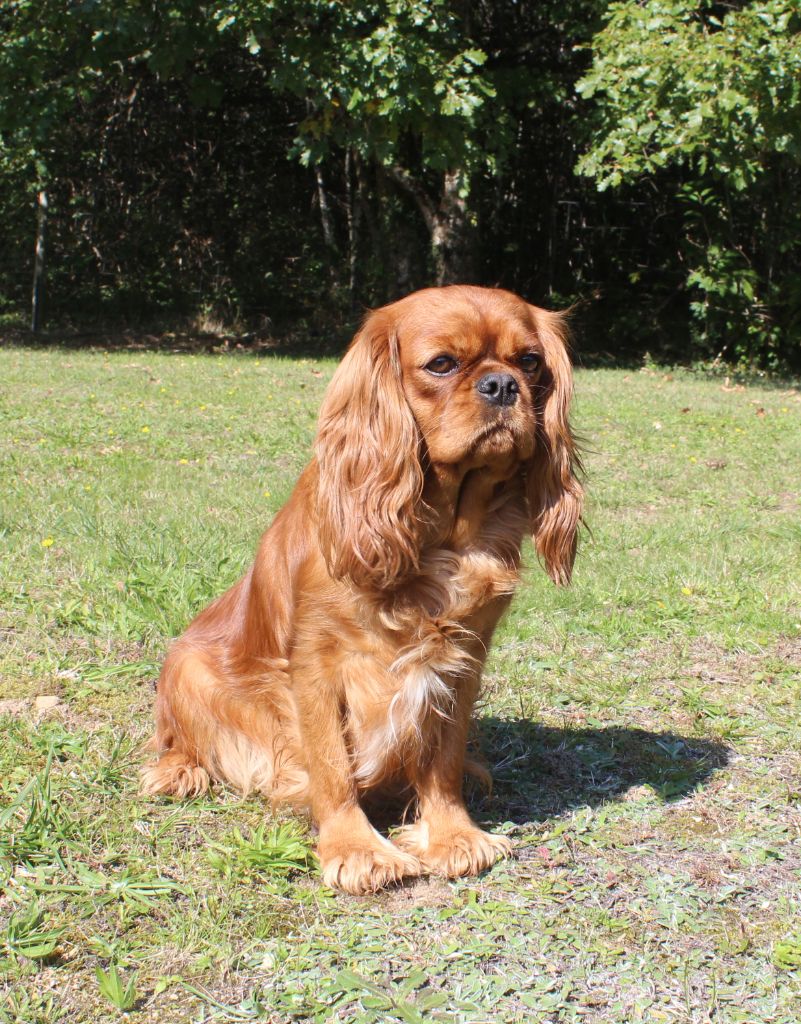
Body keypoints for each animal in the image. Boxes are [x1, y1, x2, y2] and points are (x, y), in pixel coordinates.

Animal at [142, 285, 583, 894]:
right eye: (441, 365)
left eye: (530, 361)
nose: (501, 385)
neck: (441, 536)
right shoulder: (316, 666)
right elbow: (332, 767)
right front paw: (357, 849)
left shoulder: (462, 658)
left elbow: (443, 759)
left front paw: (452, 835)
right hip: (184, 664)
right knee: (177, 738)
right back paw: (178, 771)